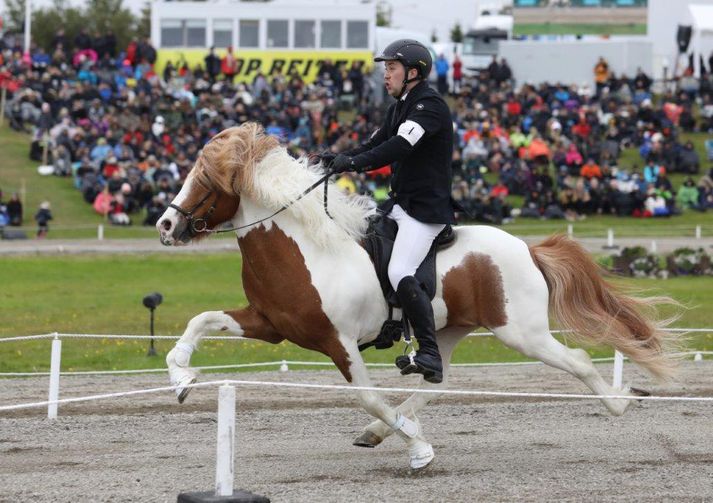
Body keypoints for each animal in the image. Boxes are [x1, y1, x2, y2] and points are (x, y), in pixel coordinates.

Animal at [157, 124, 680, 470]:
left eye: (206, 180)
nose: (165, 225)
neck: (306, 246)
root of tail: (526, 248)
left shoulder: (337, 342)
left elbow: (369, 397)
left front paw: (419, 449)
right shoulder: (269, 324)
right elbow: (202, 320)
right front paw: (181, 377)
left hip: (522, 332)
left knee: (577, 360)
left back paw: (621, 403)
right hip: (447, 330)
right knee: (437, 379)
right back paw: (378, 434)